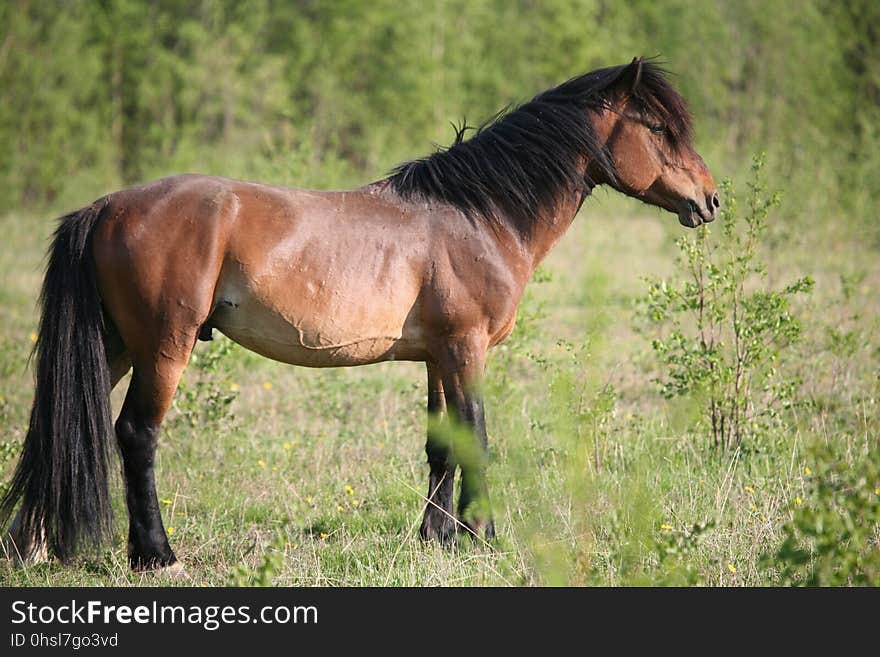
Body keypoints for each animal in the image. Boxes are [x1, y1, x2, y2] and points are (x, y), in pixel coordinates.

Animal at [0, 60, 716, 576]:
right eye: (659, 129)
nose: (710, 200)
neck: (476, 215)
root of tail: (106, 206)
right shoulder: (467, 347)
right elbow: (477, 436)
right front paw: (483, 536)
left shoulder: (437, 355)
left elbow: (440, 444)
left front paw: (436, 539)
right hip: (162, 348)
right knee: (136, 434)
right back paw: (157, 556)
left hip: (116, 345)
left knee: (54, 427)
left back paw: (30, 546)